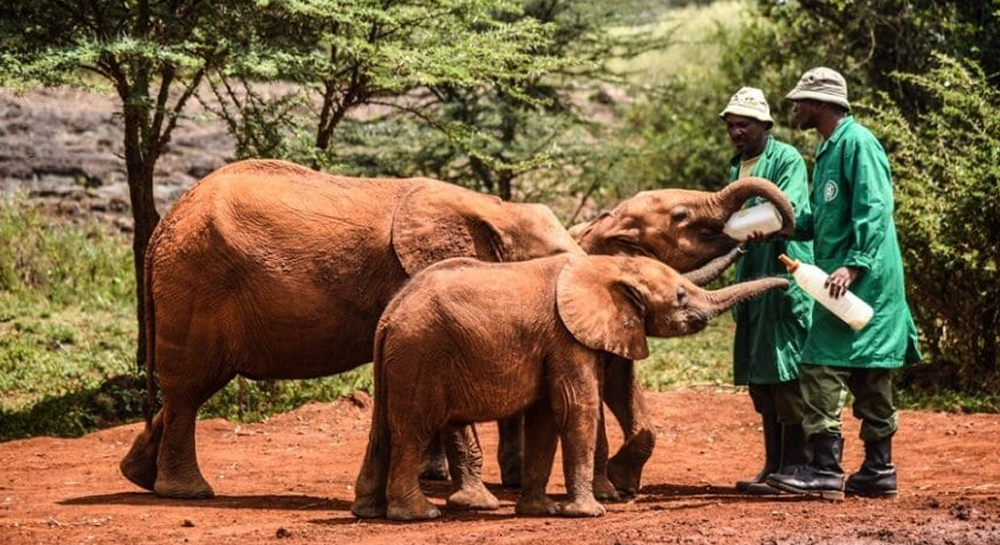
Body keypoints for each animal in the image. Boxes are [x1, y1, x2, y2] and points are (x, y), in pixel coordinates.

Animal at [118, 158, 583, 501]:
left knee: (186, 389)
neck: (495, 209)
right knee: (190, 389)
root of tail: (161, 228)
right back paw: (188, 492)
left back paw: (137, 475)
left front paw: (434, 479)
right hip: (197, 286)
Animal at [351, 253, 790, 521]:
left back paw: (368, 511)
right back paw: (419, 514)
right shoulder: (567, 337)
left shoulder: (555, 343)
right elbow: (577, 408)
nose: (788, 282)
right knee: (413, 428)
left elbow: (546, 417)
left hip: (401, 358)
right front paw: (589, 513)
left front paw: (540, 510)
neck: (610, 266)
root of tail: (390, 315)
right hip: (421, 353)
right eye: (681, 296)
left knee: (383, 430)